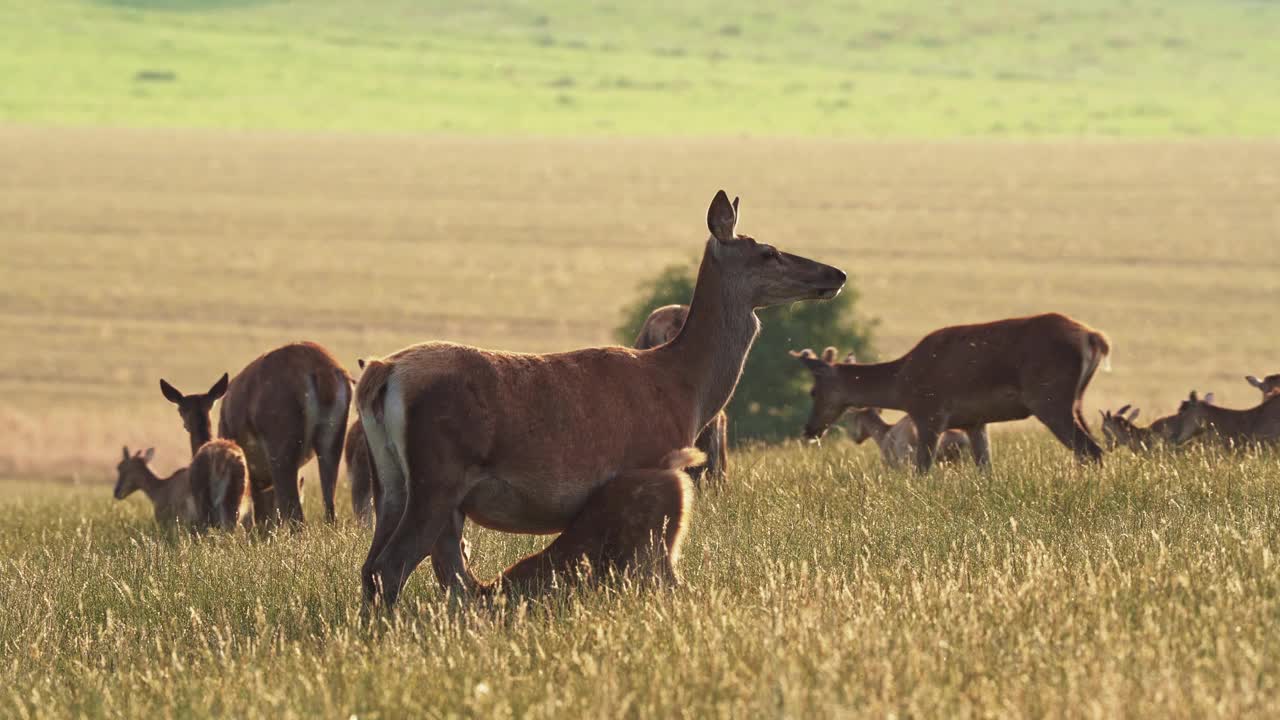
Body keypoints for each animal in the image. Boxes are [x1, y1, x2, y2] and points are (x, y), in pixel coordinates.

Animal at [163, 340, 360, 520]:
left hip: (280, 440)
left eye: (180, 412)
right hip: (333, 438)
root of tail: (321, 372)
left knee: (295, 514)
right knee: (329, 509)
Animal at [788, 310, 1111, 468]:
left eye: (813, 392)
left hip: (1049, 396)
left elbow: (922, 469)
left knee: (1090, 450)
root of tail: (1094, 337)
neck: (901, 384)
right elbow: (986, 469)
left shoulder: (930, 411)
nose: (809, 429)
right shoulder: (974, 421)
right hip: (1076, 400)